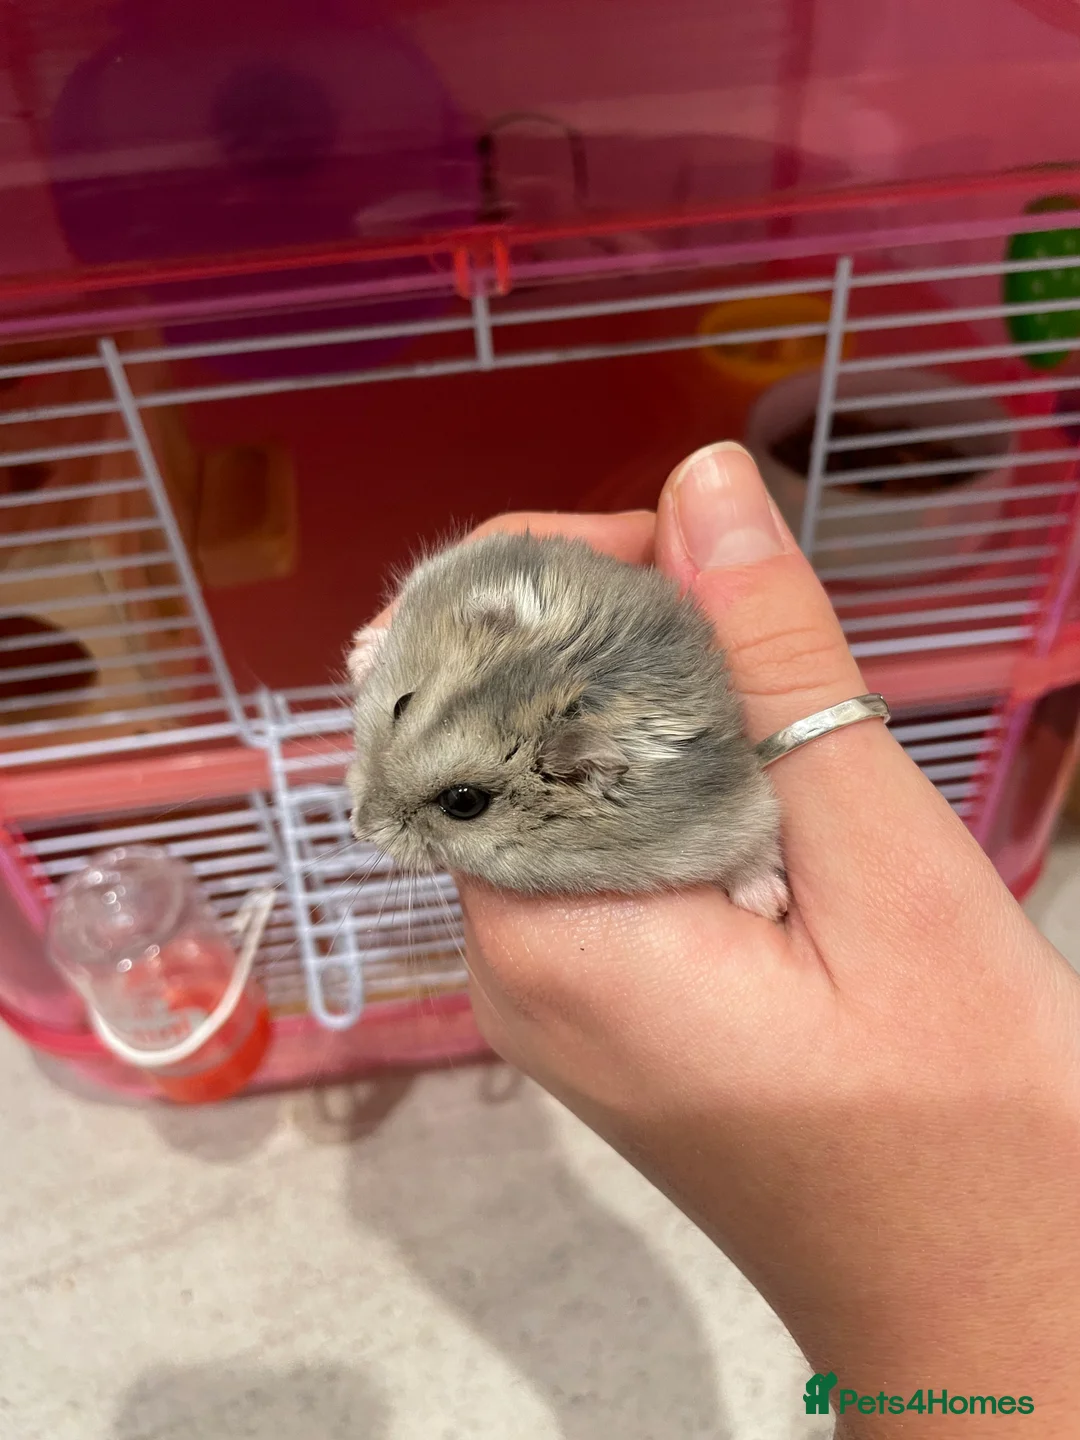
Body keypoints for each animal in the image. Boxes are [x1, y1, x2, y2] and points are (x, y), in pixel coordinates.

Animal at [346, 532, 788, 920]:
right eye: (401, 704)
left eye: (463, 802)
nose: (357, 829)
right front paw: (358, 652)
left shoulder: (737, 819)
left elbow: (753, 848)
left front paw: (770, 905)